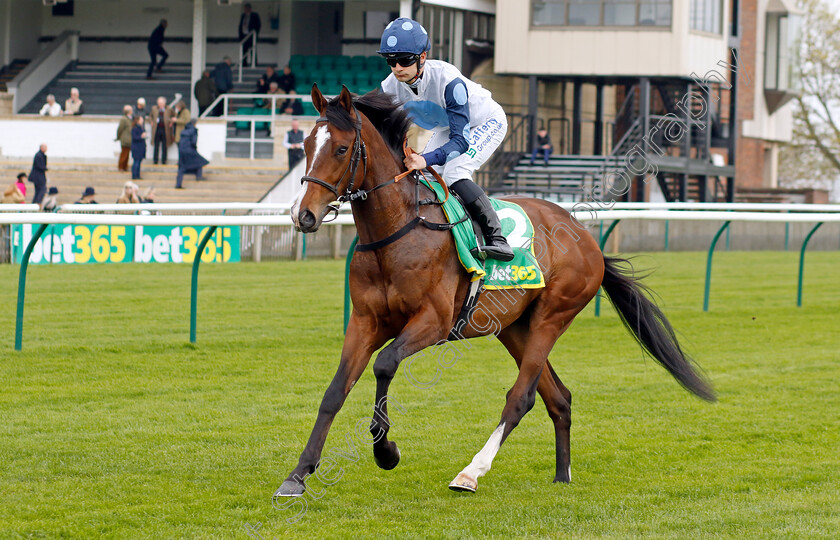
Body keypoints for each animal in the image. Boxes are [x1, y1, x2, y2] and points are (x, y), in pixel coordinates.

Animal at [278, 85, 716, 498]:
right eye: (305, 147)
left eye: (341, 148)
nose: (303, 215)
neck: (398, 230)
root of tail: (587, 239)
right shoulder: (365, 322)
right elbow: (334, 391)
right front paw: (298, 475)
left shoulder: (433, 323)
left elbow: (385, 364)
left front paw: (386, 451)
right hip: (514, 327)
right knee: (559, 397)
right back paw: (561, 475)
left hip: (552, 317)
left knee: (521, 397)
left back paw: (470, 473)